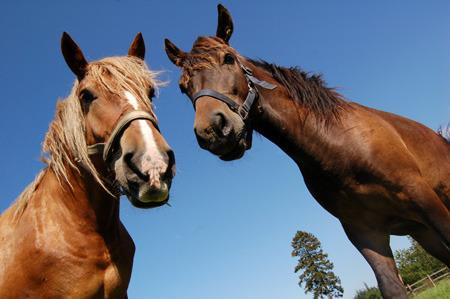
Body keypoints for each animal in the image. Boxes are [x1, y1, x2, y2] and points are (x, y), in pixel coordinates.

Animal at [166, 4, 450, 299]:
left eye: (229, 59)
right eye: (183, 87)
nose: (212, 130)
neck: (340, 146)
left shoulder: (424, 200)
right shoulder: (365, 233)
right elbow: (392, 288)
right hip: (423, 233)